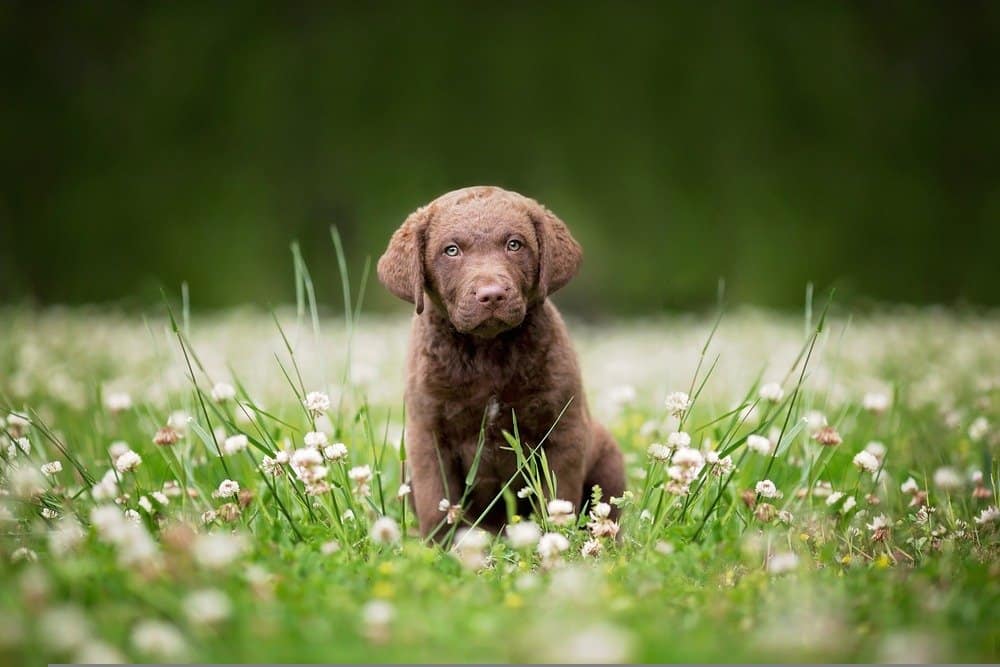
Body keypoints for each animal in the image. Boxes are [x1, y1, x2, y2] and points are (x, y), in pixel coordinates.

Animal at [376, 185, 620, 540]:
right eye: (451, 250)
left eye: (514, 244)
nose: (491, 295)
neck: (487, 354)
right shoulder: (428, 433)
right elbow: (437, 500)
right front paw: (438, 547)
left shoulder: (563, 429)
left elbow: (558, 496)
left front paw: (557, 540)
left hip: (609, 457)